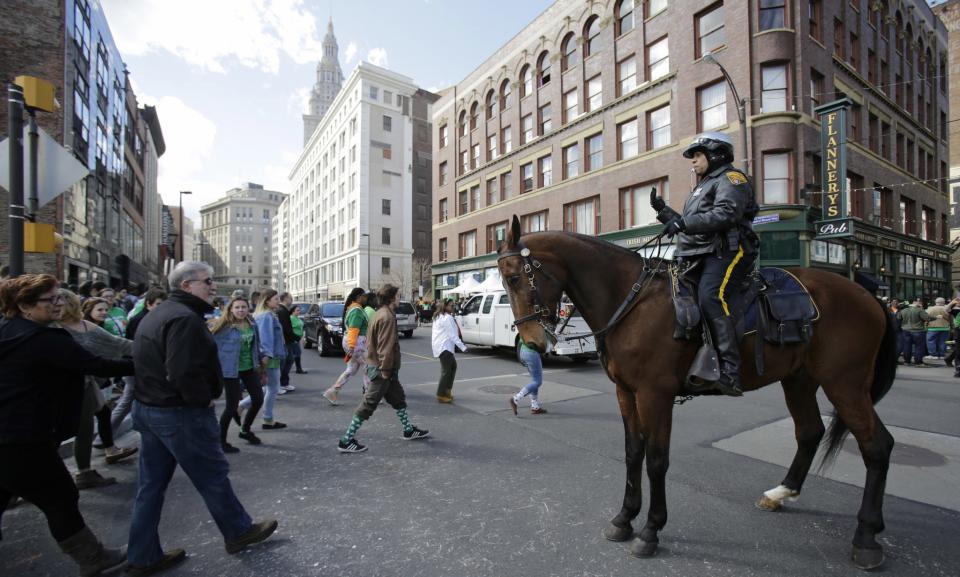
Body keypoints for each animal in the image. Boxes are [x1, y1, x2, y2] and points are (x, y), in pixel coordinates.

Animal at [498, 215, 896, 568]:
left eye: (515, 277)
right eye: (504, 282)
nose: (532, 342)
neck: (630, 303)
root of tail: (869, 295)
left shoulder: (655, 395)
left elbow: (656, 461)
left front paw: (650, 531)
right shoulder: (626, 394)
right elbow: (633, 454)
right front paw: (624, 519)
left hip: (845, 383)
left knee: (877, 445)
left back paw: (866, 537)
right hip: (799, 380)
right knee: (810, 432)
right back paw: (782, 493)